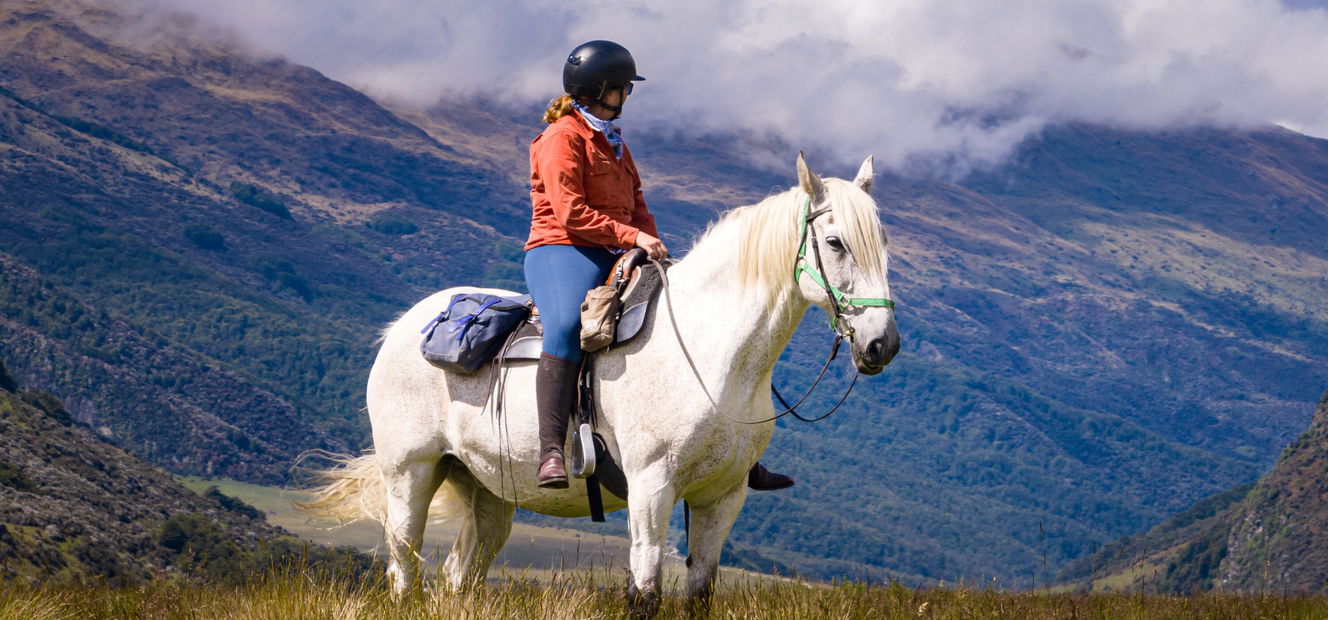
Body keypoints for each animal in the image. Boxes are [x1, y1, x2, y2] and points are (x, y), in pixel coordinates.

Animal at [301, 153, 900, 616]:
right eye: (835, 242)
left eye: (883, 243)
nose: (881, 344)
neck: (711, 355)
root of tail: (400, 329)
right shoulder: (652, 488)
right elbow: (645, 593)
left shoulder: (721, 497)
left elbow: (699, 594)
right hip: (411, 472)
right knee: (404, 565)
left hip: (485, 488)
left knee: (460, 572)